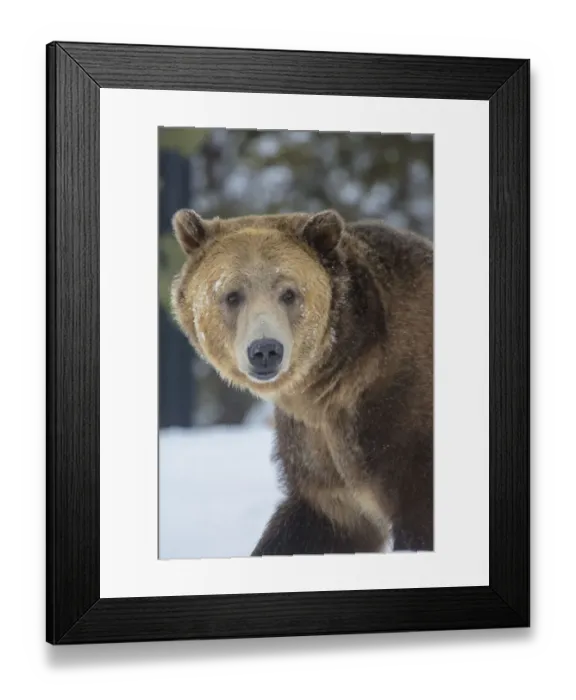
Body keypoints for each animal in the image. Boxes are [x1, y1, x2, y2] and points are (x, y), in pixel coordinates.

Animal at [169, 208, 433, 555]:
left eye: (288, 293)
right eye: (232, 295)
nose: (265, 350)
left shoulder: (399, 423)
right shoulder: (315, 451)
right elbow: (315, 525)